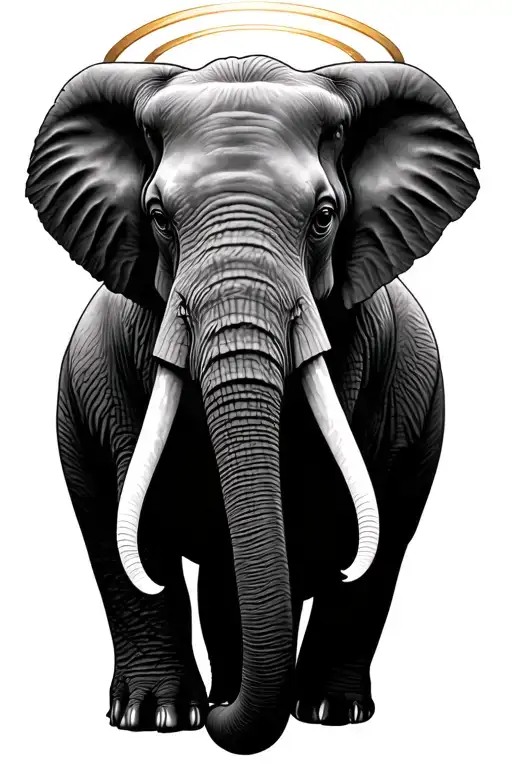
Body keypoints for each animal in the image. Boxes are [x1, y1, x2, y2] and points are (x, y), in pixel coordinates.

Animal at [26, 54, 479, 755]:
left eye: (324, 216)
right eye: (157, 216)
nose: (219, 716)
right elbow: (134, 515)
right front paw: (159, 721)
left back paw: (327, 710)